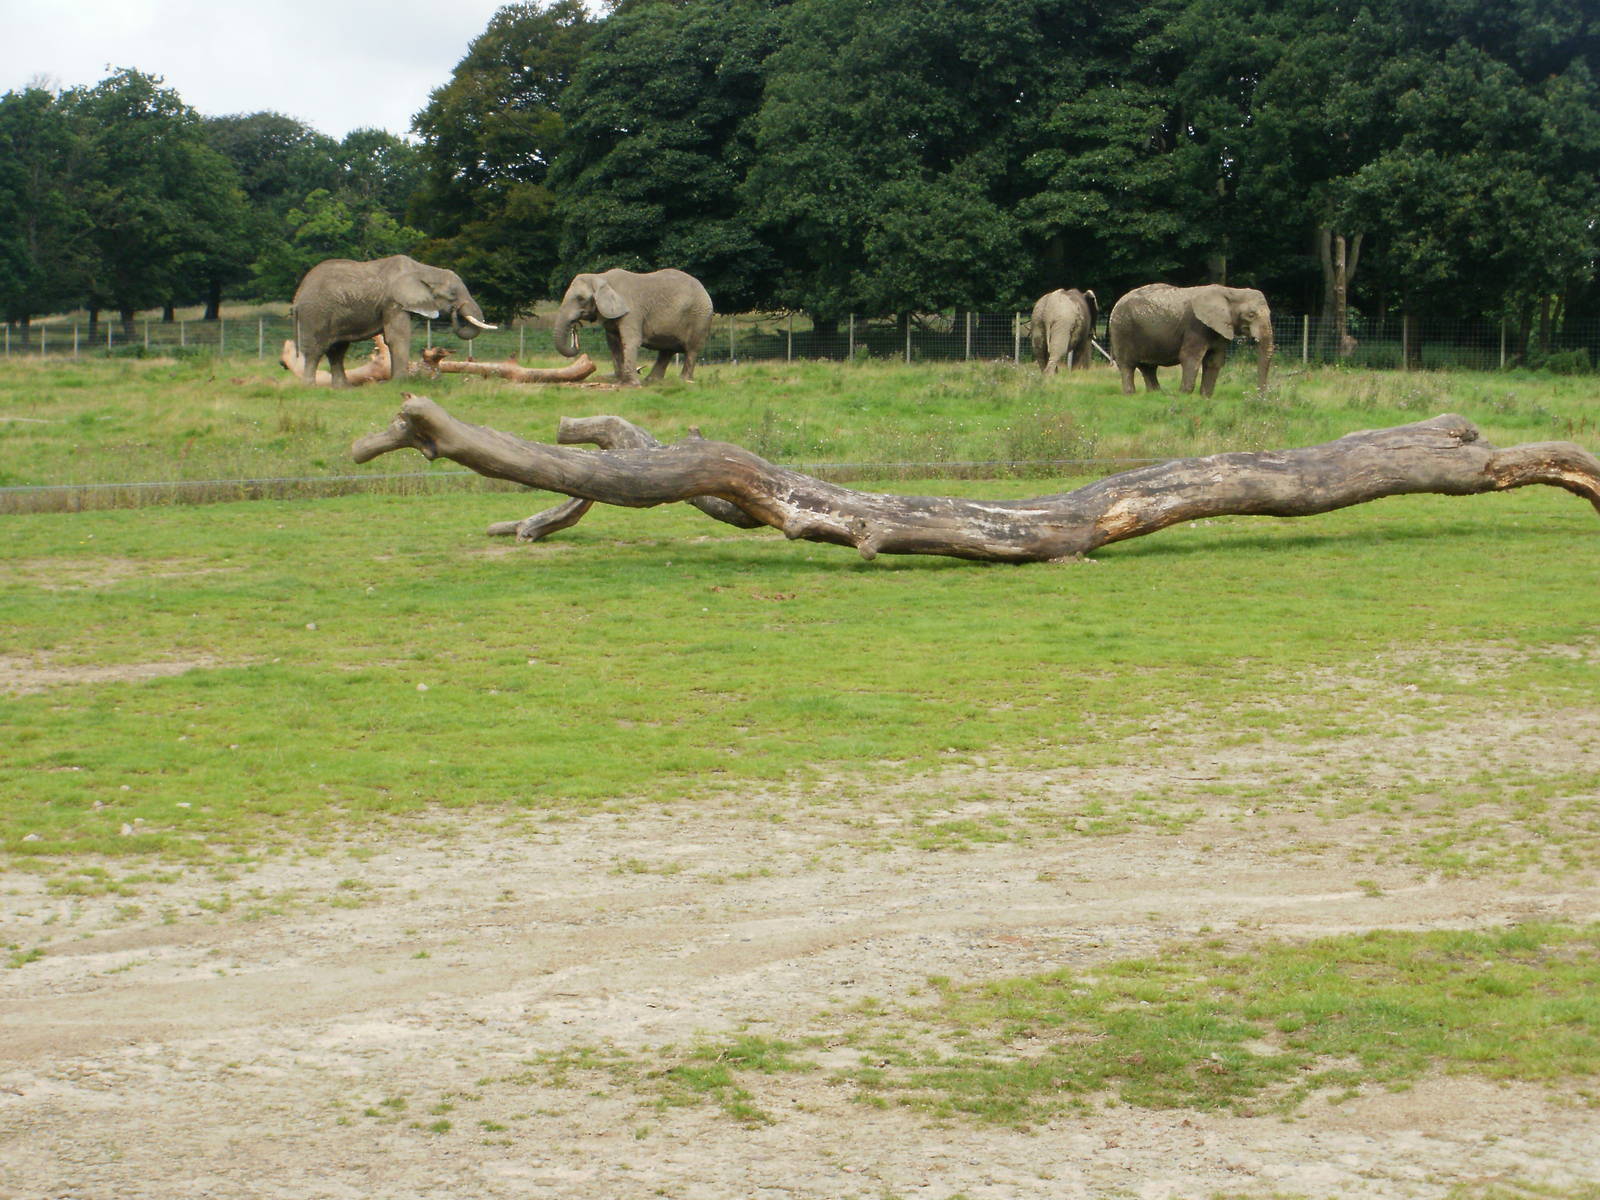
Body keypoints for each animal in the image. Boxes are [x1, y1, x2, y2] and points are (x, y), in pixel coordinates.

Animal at [290, 255, 495, 387]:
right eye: (452, 294)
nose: (456, 310)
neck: (423, 269)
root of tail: (298, 296)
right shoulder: (393, 302)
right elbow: (398, 337)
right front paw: (401, 383)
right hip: (315, 313)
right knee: (316, 349)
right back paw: (309, 387)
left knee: (337, 350)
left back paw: (343, 388)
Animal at [553, 268, 713, 386]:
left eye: (581, 299)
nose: (575, 327)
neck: (602, 277)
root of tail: (704, 289)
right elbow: (613, 344)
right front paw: (620, 381)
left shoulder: (632, 311)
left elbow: (631, 341)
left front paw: (631, 385)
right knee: (666, 351)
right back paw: (652, 381)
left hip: (699, 317)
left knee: (691, 350)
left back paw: (684, 381)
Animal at [1107, 283, 1274, 397]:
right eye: (1251, 315)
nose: (1260, 396)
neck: (1231, 291)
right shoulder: (1196, 326)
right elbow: (1190, 358)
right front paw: (1184, 395)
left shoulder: (1220, 329)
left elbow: (1214, 361)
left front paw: (1205, 397)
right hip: (1121, 329)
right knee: (1127, 365)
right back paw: (1131, 395)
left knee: (1148, 367)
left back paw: (1156, 394)